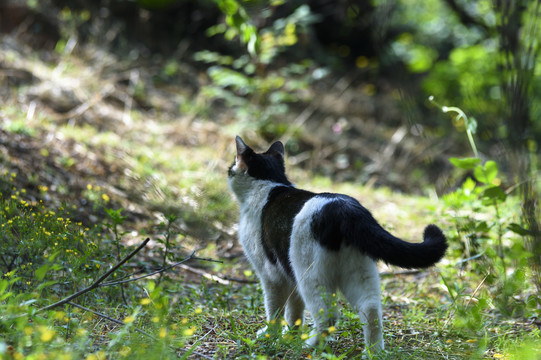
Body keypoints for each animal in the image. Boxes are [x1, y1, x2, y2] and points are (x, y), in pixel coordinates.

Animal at [226, 135, 446, 352]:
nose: (228, 171)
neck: (268, 183)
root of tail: (345, 208)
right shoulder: (289, 274)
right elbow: (294, 311)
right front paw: (292, 335)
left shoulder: (271, 275)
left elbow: (275, 310)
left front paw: (272, 336)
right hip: (358, 272)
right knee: (371, 310)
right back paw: (372, 352)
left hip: (310, 275)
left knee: (328, 316)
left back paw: (310, 345)